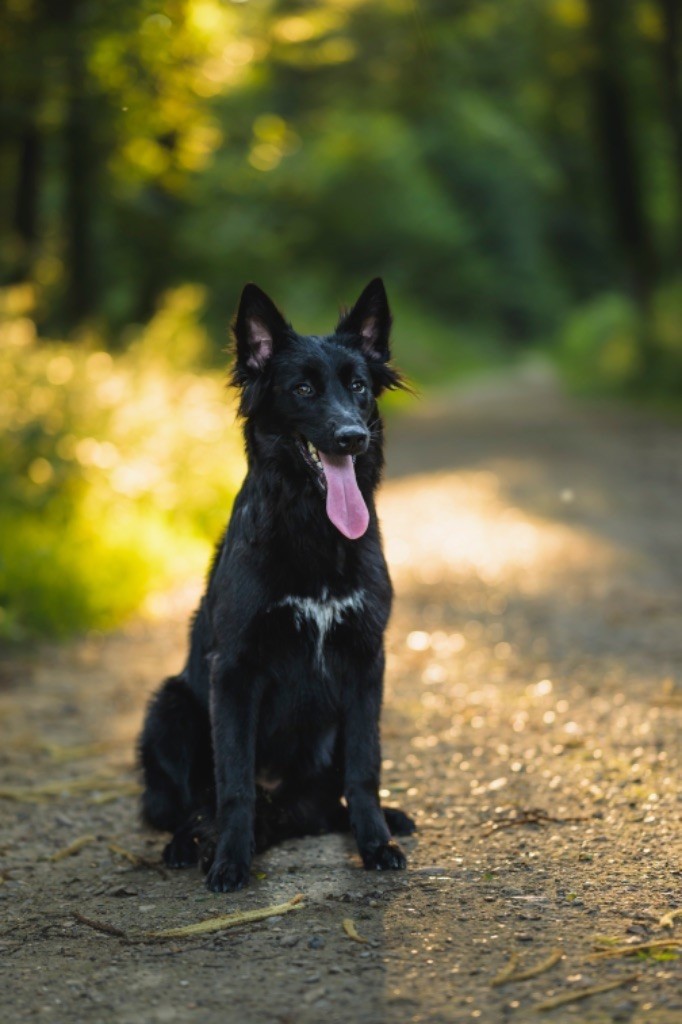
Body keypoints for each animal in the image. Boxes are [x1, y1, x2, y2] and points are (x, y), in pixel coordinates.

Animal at [138, 278, 411, 888]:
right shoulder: (235, 670)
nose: (352, 437)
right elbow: (235, 783)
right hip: (170, 706)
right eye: (303, 389)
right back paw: (189, 843)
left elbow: (365, 767)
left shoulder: (367, 661)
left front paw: (375, 841)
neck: (313, 528)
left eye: (358, 386)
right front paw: (230, 859)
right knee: (188, 803)